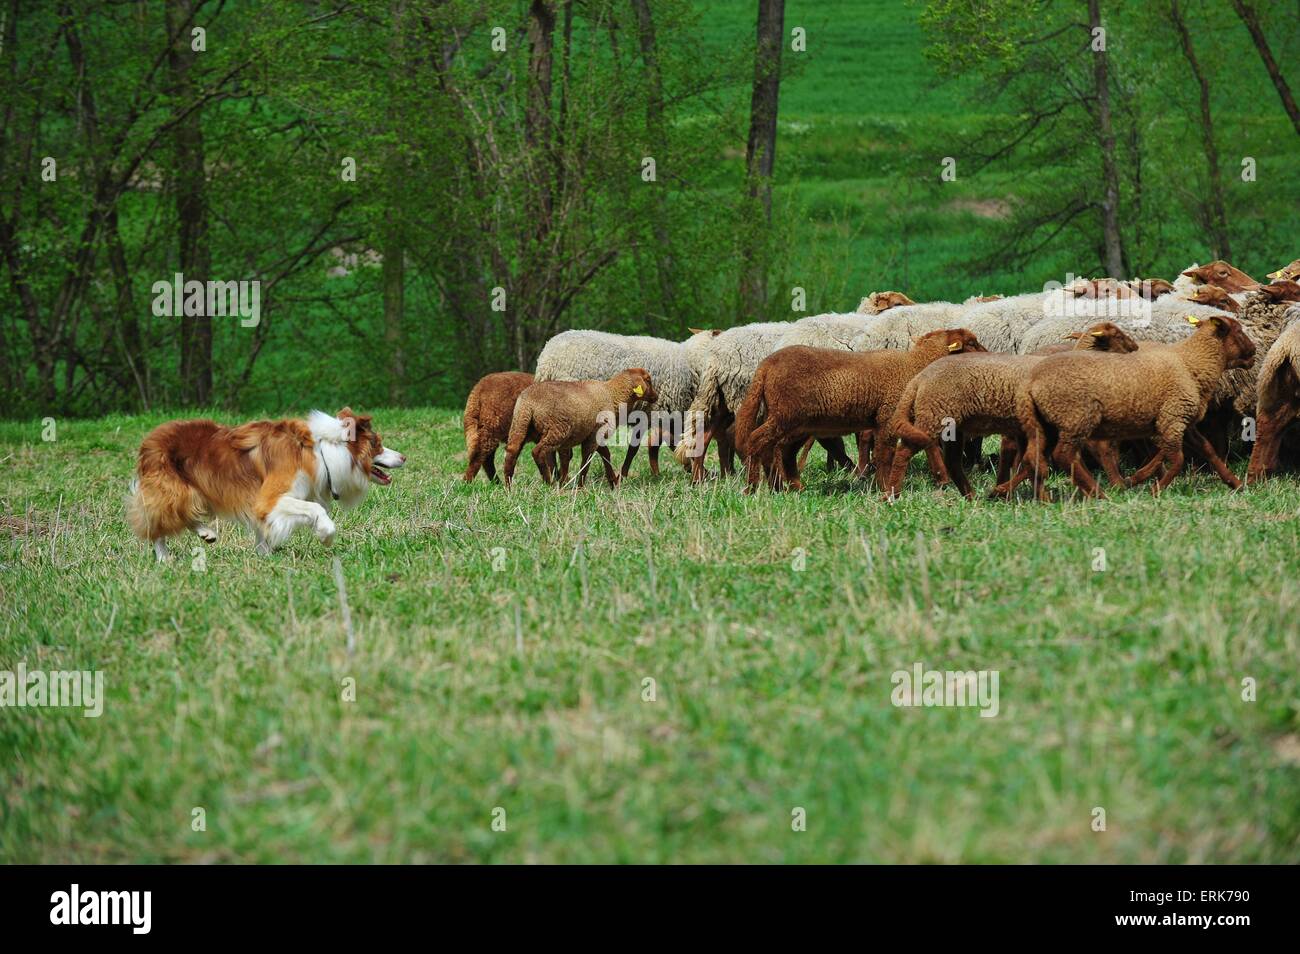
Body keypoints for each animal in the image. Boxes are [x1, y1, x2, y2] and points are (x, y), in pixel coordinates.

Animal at [127, 408, 403, 561]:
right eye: (378, 445)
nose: (404, 457)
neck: (322, 451)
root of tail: (148, 441)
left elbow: (264, 527)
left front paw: (265, 554)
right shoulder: (269, 498)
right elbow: (316, 509)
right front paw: (326, 535)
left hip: (196, 491)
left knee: (183, 514)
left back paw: (206, 533)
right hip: (174, 489)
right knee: (158, 520)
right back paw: (164, 558)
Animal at [499, 369, 655, 488]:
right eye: (648, 379)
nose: (656, 396)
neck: (612, 395)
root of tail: (529, 402)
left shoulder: (590, 435)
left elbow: (600, 454)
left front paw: (613, 482)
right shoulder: (595, 434)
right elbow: (587, 459)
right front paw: (580, 486)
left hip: (520, 424)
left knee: (511, 452)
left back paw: (509, 487)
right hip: (557, 429)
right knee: (538, 451)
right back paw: (548, 483)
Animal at [733, 328, 982, 493]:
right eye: (971, 343)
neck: (915, 365)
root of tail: (766, 366)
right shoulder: (887, 416)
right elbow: (884, 453)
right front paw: (885, 488)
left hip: (799, 423)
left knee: (783, 450)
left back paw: (789, 487)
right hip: (785, 416)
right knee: (758, 441)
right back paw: (754, 488)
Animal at [883, 323, 1138, 501]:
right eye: (1117, 336)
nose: (1136, 349)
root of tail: (919, 379)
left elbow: (1031, 463)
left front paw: (1036, 498)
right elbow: (1034, 463)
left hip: (953, 426)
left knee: (953, 461)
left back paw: (971, 497)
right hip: (934, 417)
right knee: (905, 451)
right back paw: (892, 495)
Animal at [998, 317, 1253, 504]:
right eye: (1239, 331)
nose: (1255, 351)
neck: (1191, 363)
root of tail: (1030, 383)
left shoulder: (1182, 421)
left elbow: (1208, 450)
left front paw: (1235, 483)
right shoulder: (1172, 420)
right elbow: (1178, 460)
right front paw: (1155, 489)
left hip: (1047, 424)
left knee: (1034, 457)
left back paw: (1010, 491)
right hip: (1076, 418)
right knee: (1064, 455)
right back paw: (1099, 493)